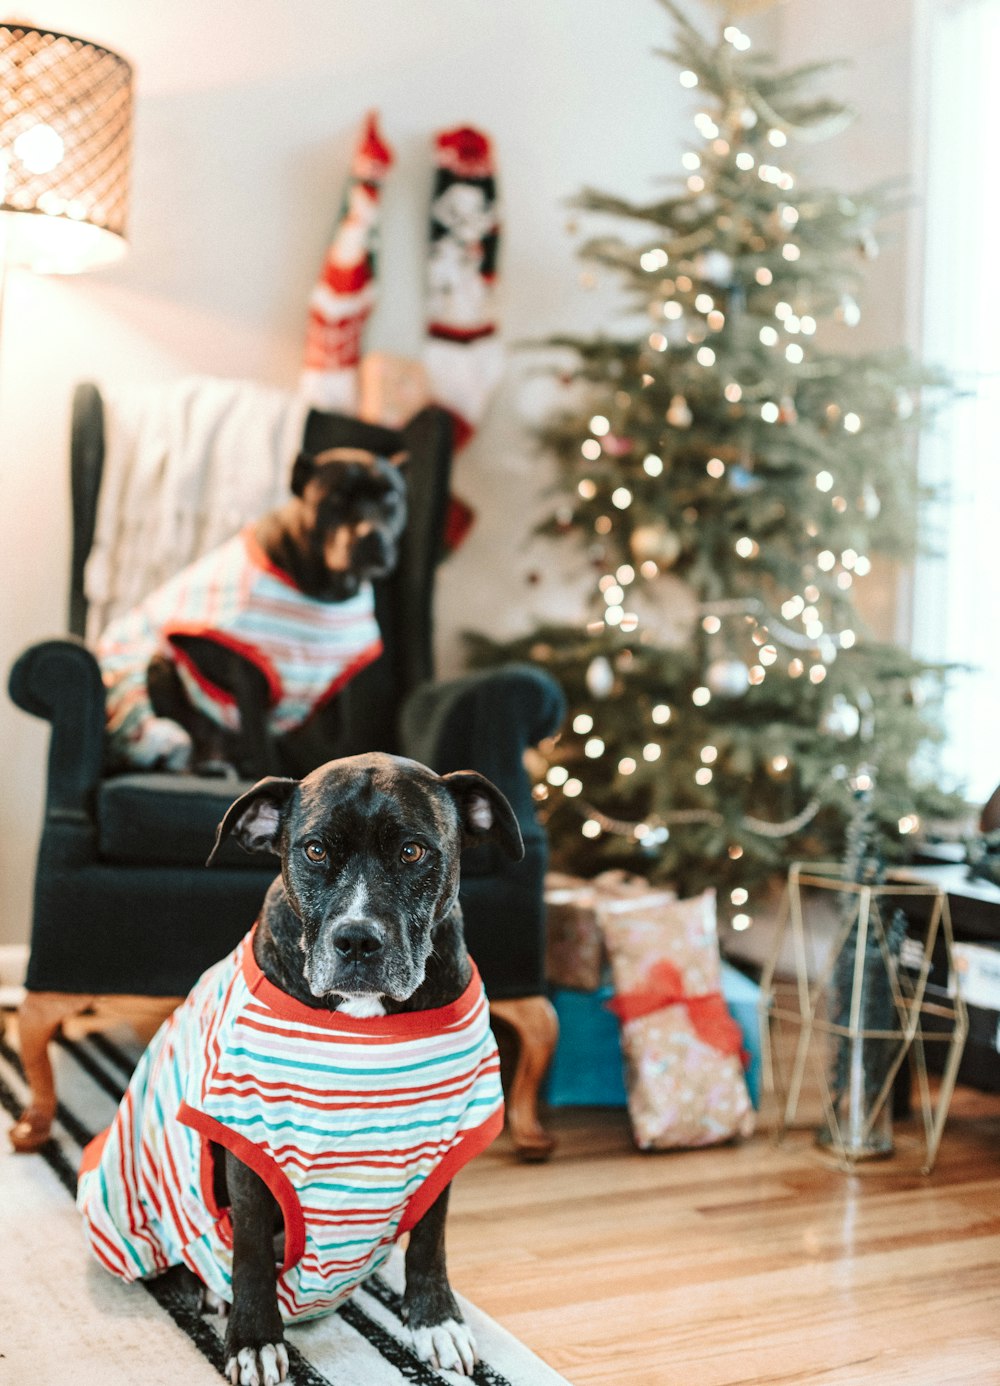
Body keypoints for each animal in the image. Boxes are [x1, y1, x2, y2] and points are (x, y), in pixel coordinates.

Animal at [93, 443, 404, 781]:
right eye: (335, 499)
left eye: (391, 499)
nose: (373, 536)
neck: (327, 591)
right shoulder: (250, 680)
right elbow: (264, 750)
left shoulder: (334, 698)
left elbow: (336, 747)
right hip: (159, 666)